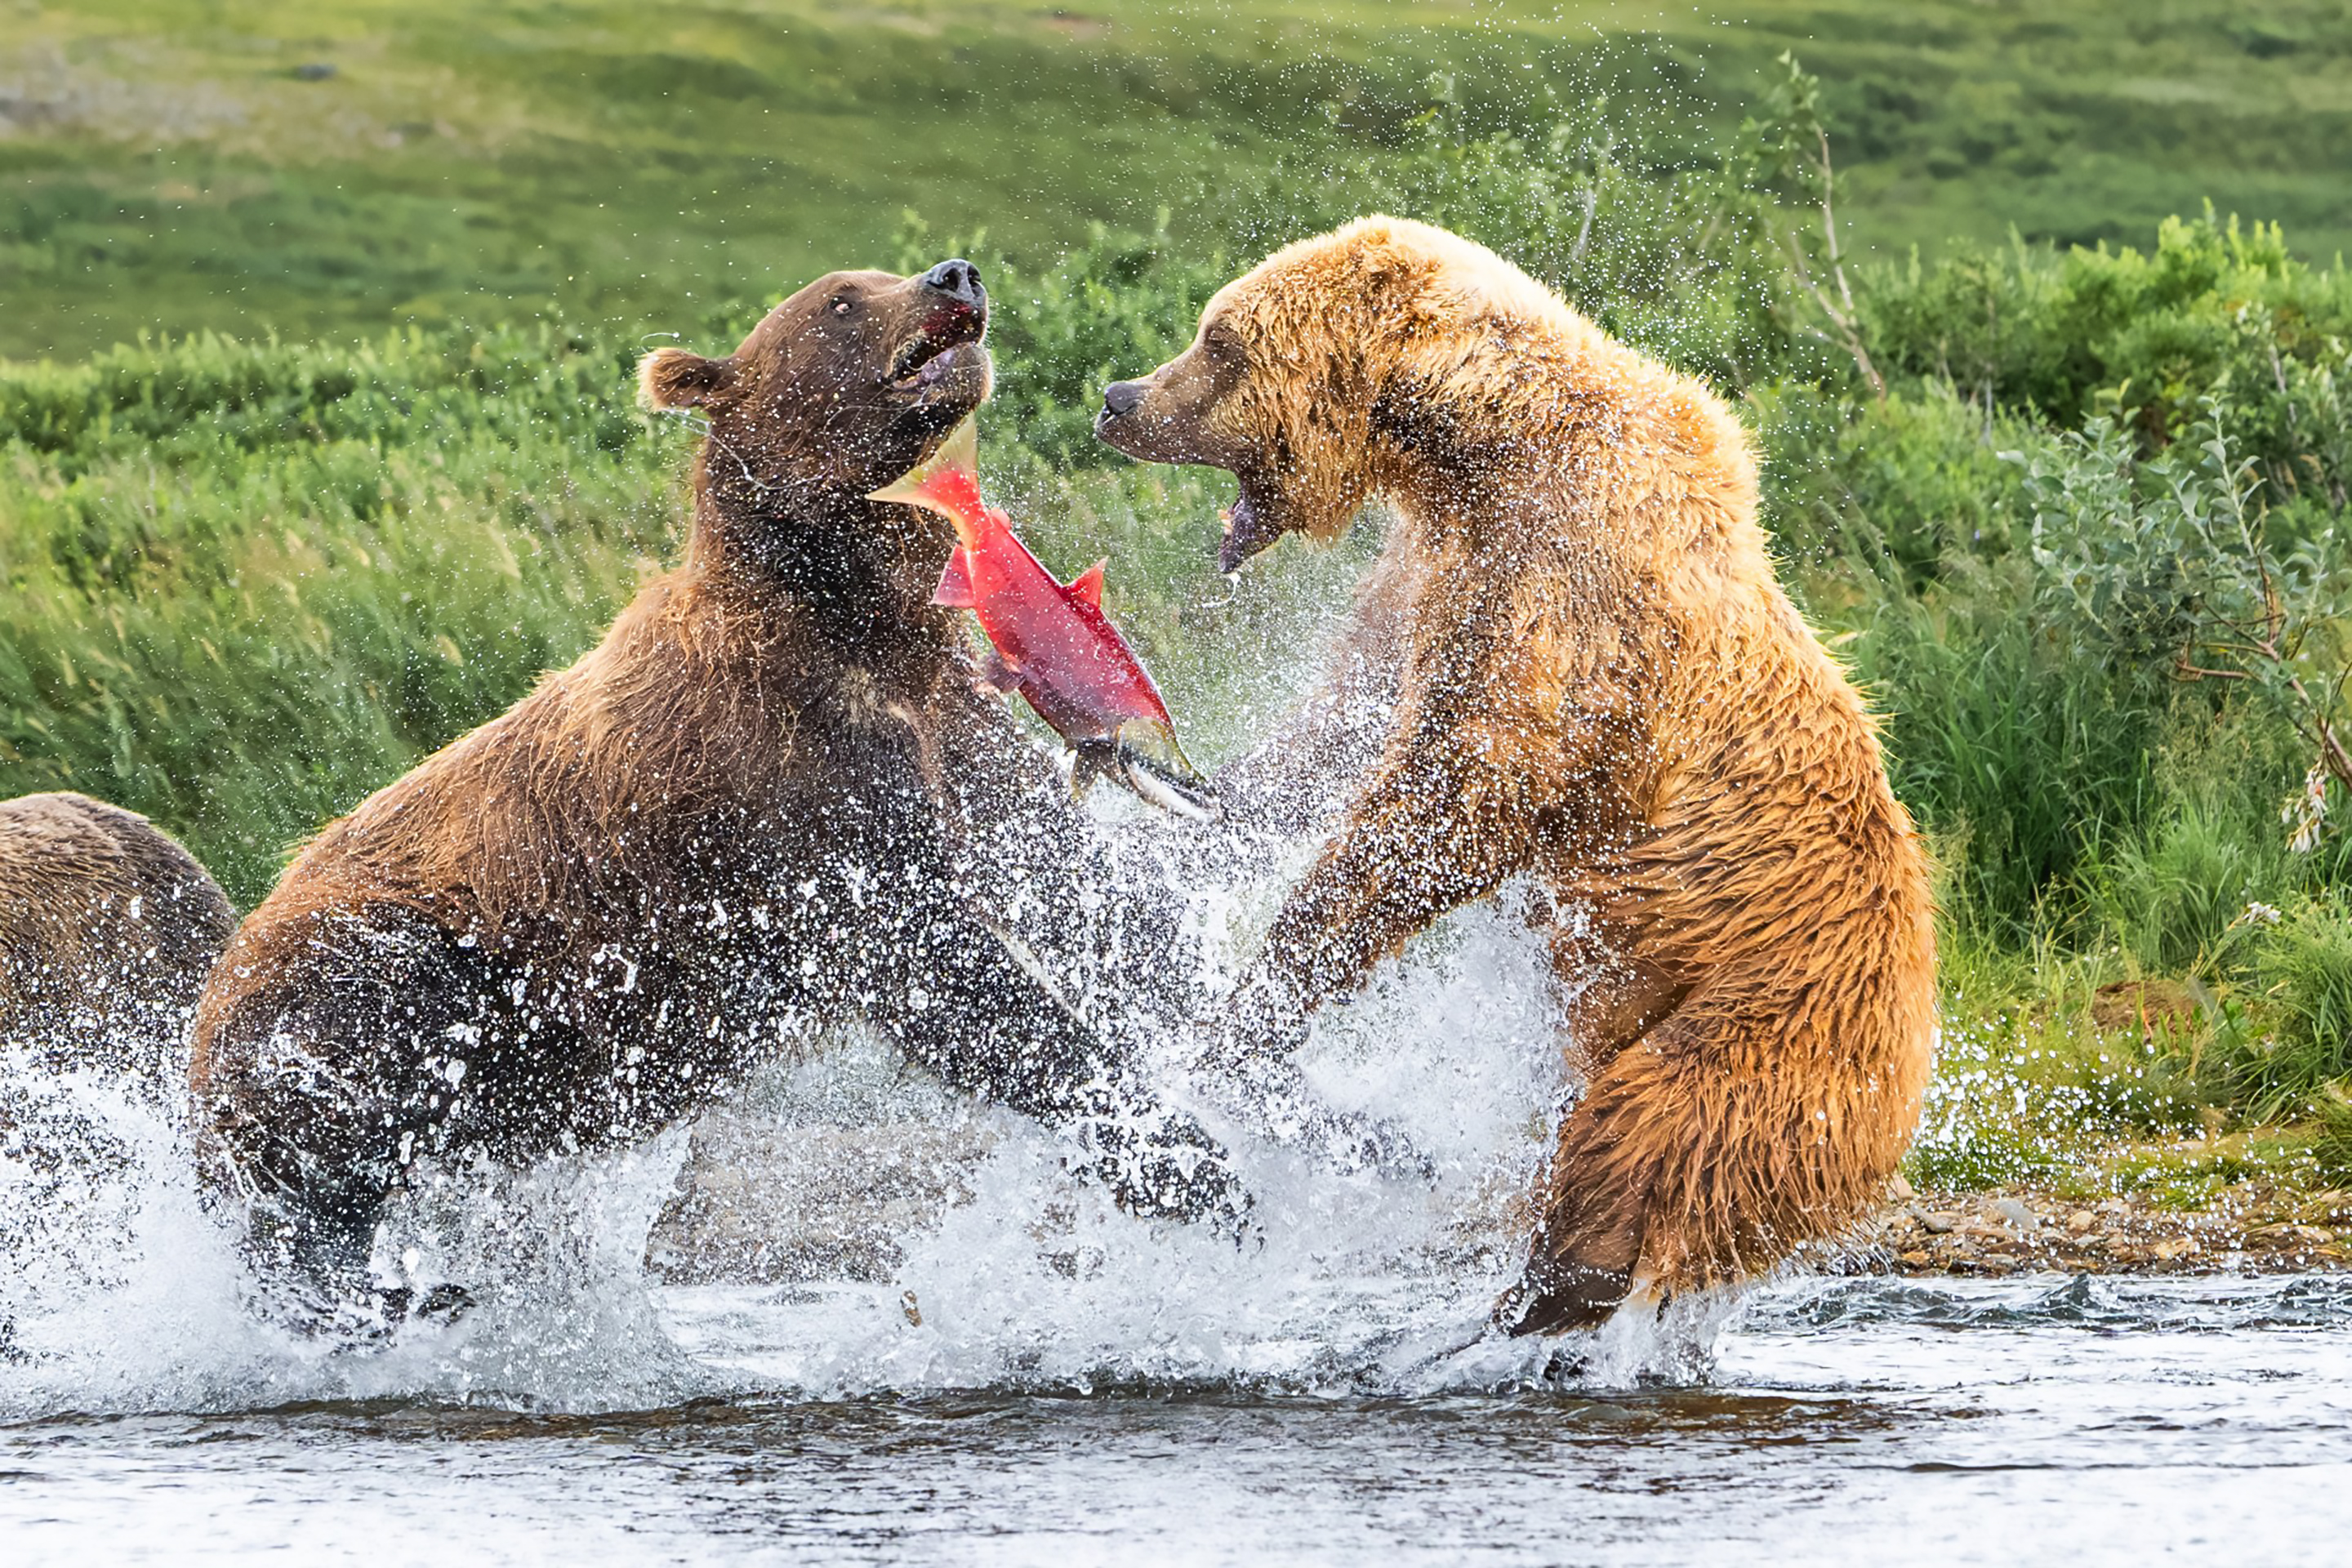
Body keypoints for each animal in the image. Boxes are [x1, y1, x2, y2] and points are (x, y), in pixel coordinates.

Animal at [191, 259, 1246, 1329]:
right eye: (841, 301)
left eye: (880, 273)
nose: (954, 275)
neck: (850, 620)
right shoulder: (796, 799)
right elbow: (959, 985)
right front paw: (1195, 1169)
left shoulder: (951, 737)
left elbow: (1086, 892)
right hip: (370, 970)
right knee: (334, 1135)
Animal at [1095, 216, 1937, 1334]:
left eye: (1220, 340)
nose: (1120, 398)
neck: (1478, 448)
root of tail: (1909, 1072)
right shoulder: (1441, 578)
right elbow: (1344, 723)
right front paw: (1167, 780)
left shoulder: (1569, 593)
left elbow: (1457, 803)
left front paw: (1246, 1022)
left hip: (1769, 1035)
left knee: (1642, 1142)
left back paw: (1531, 1295)